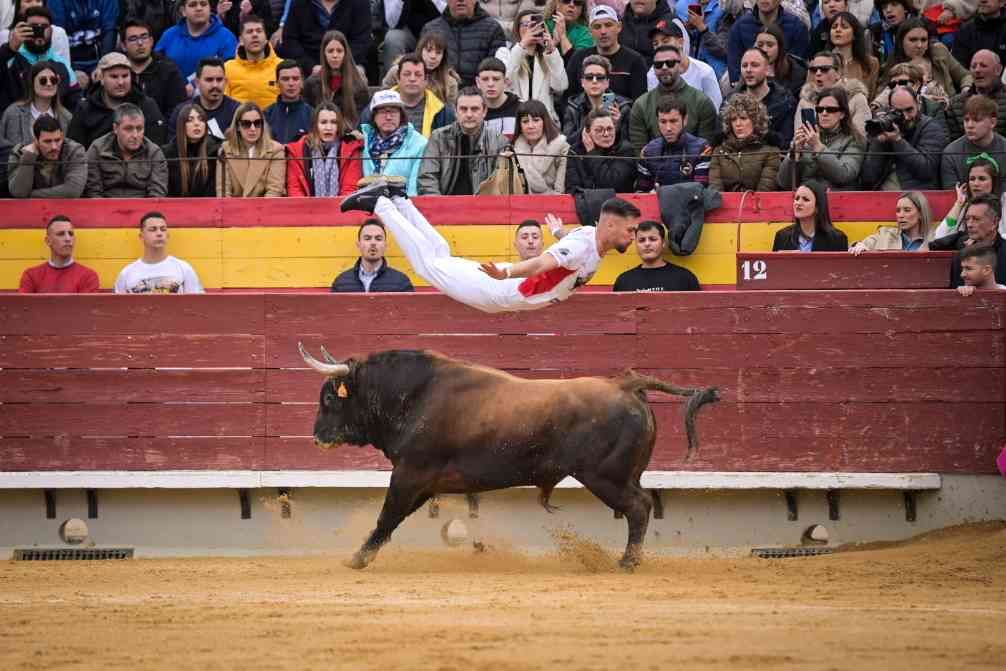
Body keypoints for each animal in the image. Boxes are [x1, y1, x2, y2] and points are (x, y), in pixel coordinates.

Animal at [293, 344, 720, 571]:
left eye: (329, 398)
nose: (317, 436)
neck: (414, 395)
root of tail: (626, 384)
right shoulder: (424, 482)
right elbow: (401, 518)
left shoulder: (410, 474)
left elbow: (387, 516)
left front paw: (356, 559)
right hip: (622, 475)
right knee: (641, 504)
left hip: (605, 477)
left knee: (639, 507)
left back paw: (627, 563)